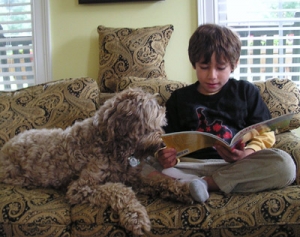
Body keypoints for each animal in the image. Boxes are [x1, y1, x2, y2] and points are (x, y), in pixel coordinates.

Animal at [0, 88, 192, 236]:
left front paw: (179, 189)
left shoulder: (132, 177)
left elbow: (156, 180)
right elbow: (120, 191)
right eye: (153, 123)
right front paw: (136, 217)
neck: (108, 142)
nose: (162, 145)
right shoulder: (81, 187)